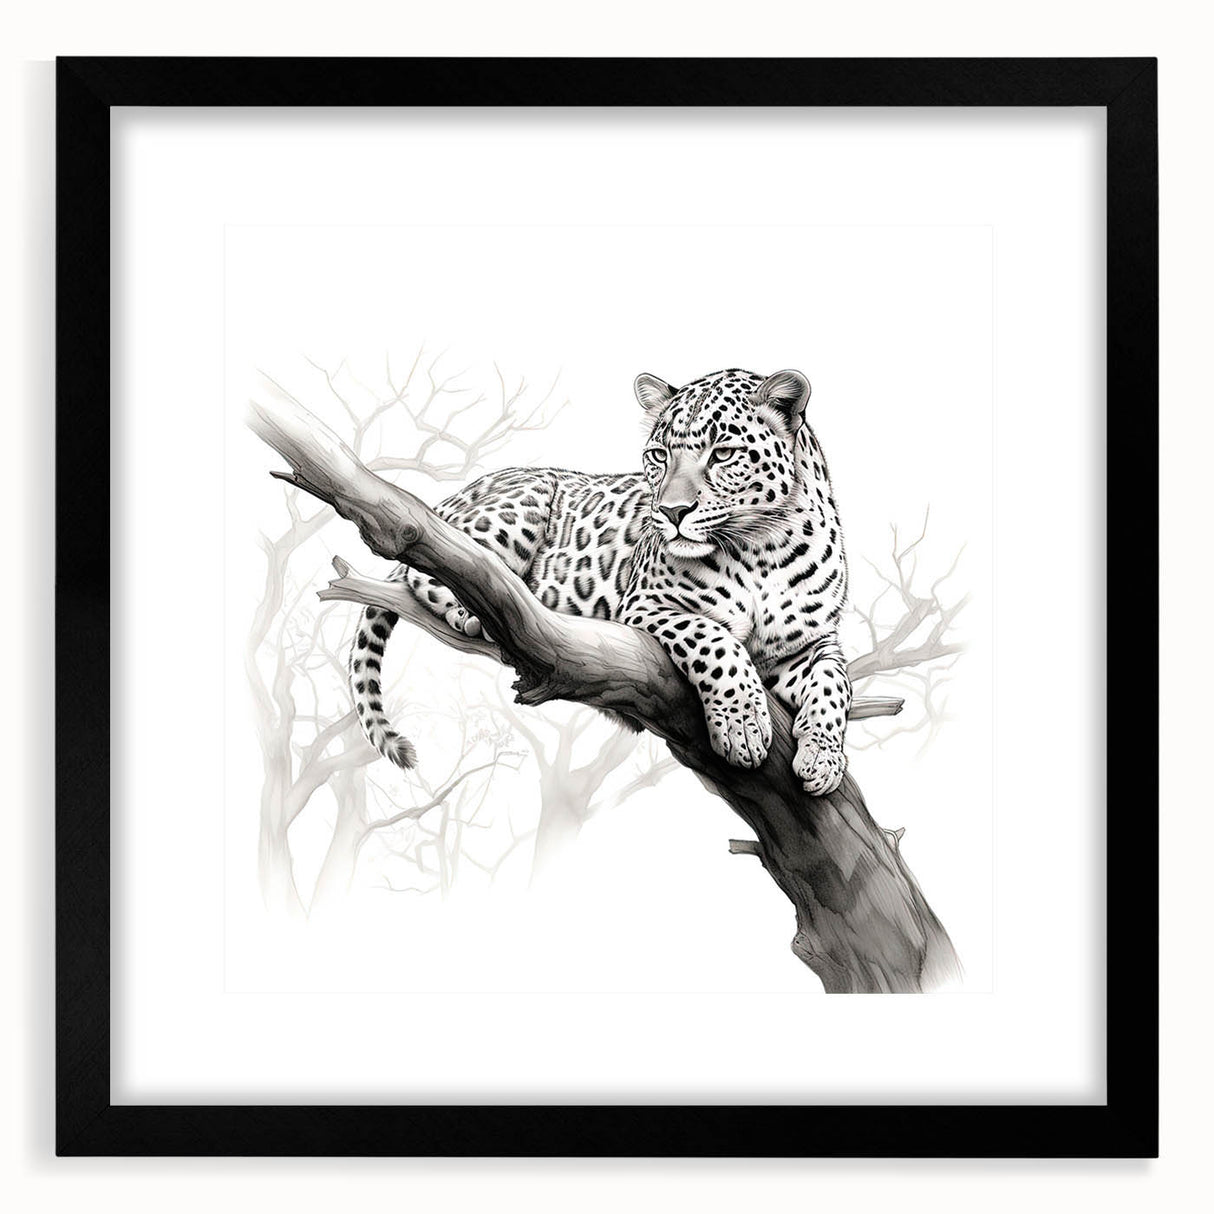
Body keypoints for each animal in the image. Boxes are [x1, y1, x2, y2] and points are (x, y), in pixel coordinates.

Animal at [348, 367, 852, 795]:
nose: (671, 512)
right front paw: (742, 726)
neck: (762, 551)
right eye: (659, 455)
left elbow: (834, 683)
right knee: (437, 564)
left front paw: (823, 759)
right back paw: (474, 609)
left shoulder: (811, 641)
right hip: (517, 508)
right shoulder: (646, 604)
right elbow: (715, 641)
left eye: (723, 454)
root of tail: (457, 494)